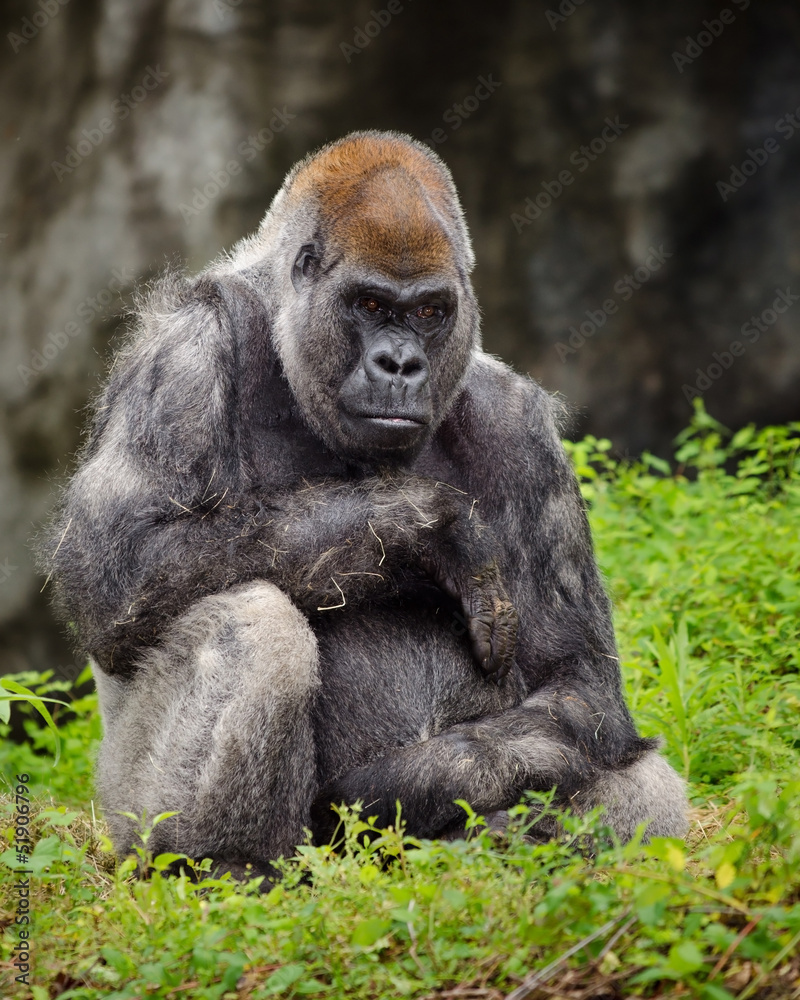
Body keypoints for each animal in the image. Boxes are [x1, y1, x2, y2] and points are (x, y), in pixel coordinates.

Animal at [42, 130, 687, 879]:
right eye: (371, 305)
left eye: (431, 311)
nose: (400, 366)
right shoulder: (183, 348)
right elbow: (119, 569)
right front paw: (430, 528)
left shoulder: (523, 426)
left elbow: (579, 685)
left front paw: (392, 788)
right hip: (125, 818)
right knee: (253, 618)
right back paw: (223, 865)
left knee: (642, 785)